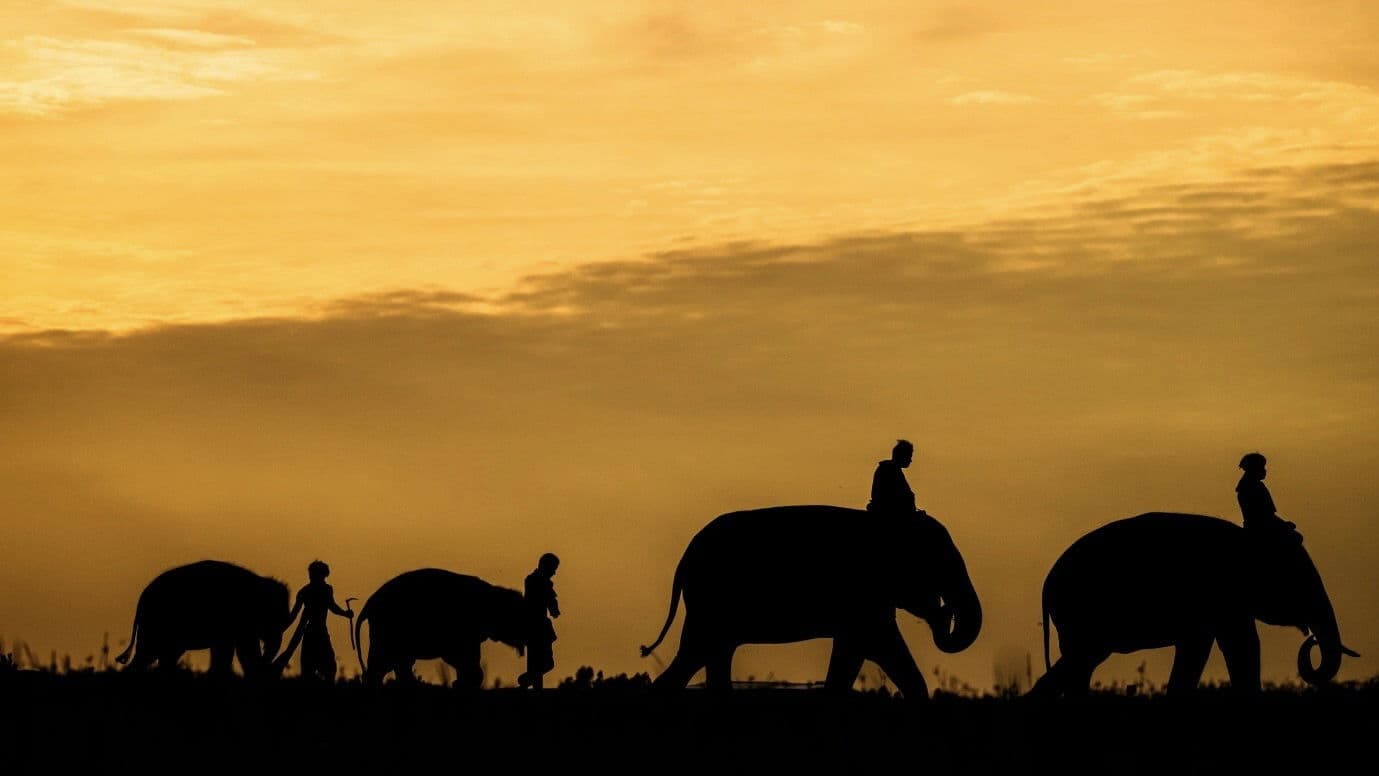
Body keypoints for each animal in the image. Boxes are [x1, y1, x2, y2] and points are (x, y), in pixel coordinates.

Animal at [115, 560, 292, 677]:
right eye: (273, 620)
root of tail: (142, 596)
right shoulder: (236, 617)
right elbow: (241, 649)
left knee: (163, 656)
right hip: (155, 622)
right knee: (149, 653)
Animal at [353, 568, 529, 688]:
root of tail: (368, 604)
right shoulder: (462, 629)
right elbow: (459, 656)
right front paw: (462, 683)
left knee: (399, 663)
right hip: (386, 629)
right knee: (384, 662)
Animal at [639, 505, 982, 699]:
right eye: (941, 563)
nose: (943, 612)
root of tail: (684, 560)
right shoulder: (862, 596)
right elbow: (871, 646)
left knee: (709, 655)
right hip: (710, 602)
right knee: (696, 654)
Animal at [1030, 512, 1360, 697]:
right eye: (1302, 577)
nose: (1312, 639)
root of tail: (1046, 584)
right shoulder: (1221, 597)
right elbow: (1240, 646)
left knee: (1077, 665)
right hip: (1081, 616)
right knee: (1080, 662)